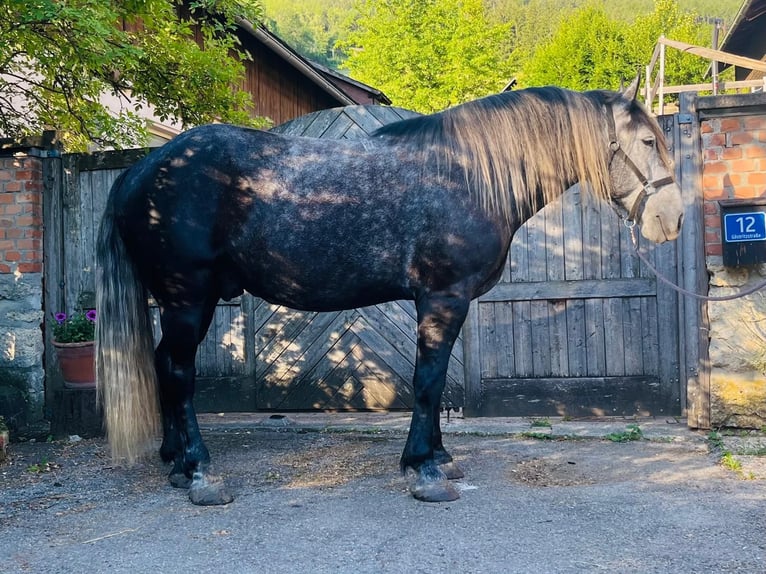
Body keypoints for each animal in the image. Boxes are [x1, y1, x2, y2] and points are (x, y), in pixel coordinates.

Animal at [95, 77, 683, 505]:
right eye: (647, 141)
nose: (671, 218)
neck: (465, 176)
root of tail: (141, 170)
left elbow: (436, 383)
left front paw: (439, 459)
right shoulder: (443, 299)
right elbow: (427, 381)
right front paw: (424, 472)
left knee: (162, 365)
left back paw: (175, 461)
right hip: (187, 298)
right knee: (178, 374)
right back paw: (200, 473)